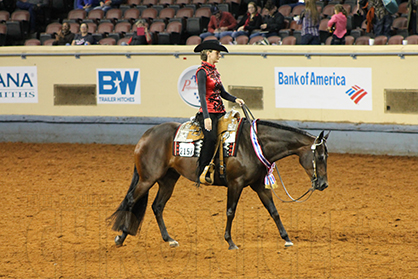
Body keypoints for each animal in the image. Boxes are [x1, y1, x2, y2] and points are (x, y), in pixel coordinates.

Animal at [108, 117, 330, 250]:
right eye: (320, 157)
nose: (323, 184)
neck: (252, 144)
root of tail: (145, 136)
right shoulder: (235, 184)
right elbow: (231, 211)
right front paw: (230, 242)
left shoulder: (258, 184)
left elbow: (273, 210)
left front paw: (287, 238)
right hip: (148, 178)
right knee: (131, 200)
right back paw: (121, 237)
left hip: (168, 180)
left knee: (157, 206)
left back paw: (169, 239)